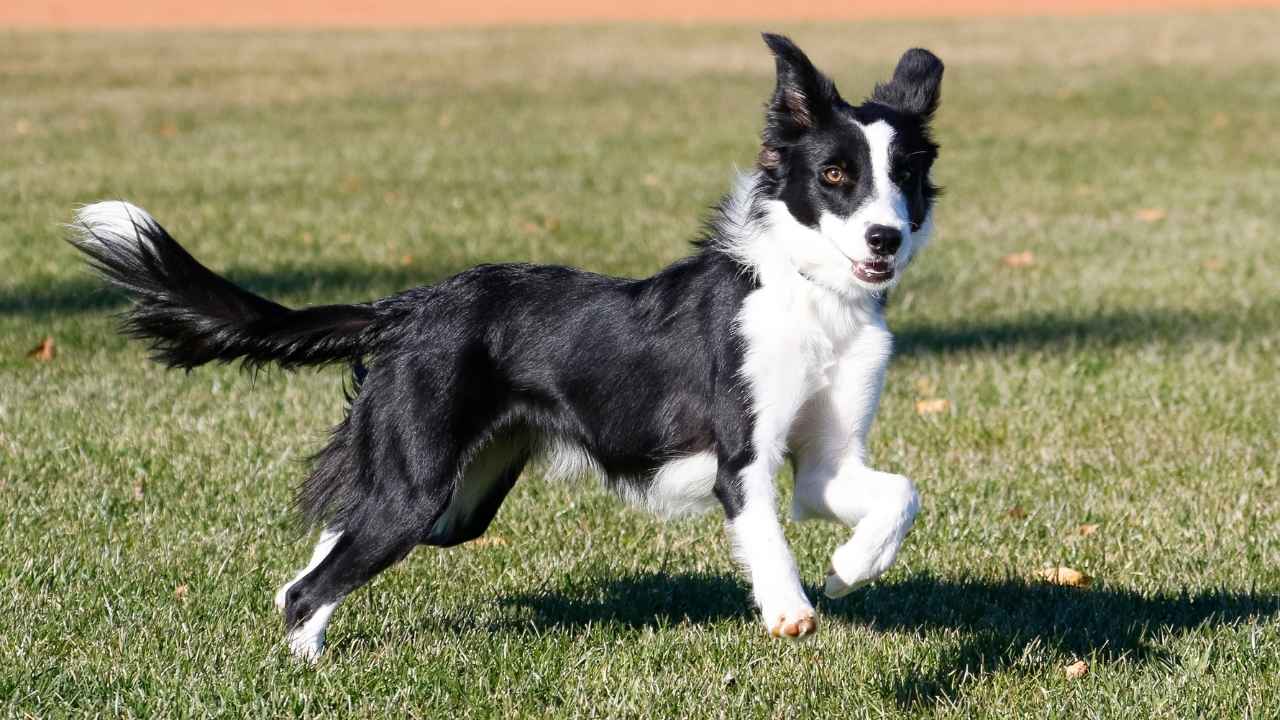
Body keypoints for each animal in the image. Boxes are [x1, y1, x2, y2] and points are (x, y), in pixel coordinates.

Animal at [70, 36, 947, 661]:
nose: (885, 238)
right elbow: (766, 535)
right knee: (310, 583)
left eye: (903, 176)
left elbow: (899, 496)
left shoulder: (828, 462)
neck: (812, 293)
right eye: (834, 174)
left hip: (449, 502)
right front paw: (791, 607)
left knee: (324, 550)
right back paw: (307, 666)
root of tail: (409, 306)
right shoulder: (744, 457)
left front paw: (847, 571)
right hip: (421, 488)